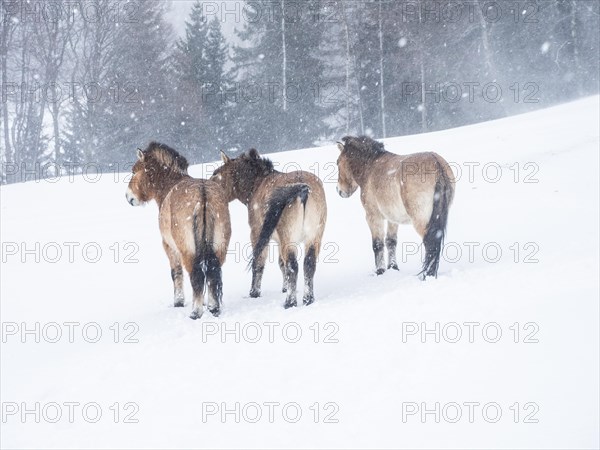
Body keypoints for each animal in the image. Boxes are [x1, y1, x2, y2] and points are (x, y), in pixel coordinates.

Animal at [125, 142, 231, 318]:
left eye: (134, 170)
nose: (129, 197)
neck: (169, 186)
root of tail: (203, 197)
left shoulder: (169, 247)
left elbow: (176, 273)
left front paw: (179, 302)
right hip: (220, 247)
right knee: (213, 273)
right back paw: (213, 308)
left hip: (187, 251)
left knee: (196, 275)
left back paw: (196, 312)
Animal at [212, 149, 328, 308]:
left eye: (216, 174)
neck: (257, 183)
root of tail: (303, 188)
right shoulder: (280, 241)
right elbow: (281, 263)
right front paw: (284, 288)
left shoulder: (256, 234)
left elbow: (259, 262)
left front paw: (254, 293)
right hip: (314, 236)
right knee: (309, 264)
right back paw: (307, 299)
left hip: (289, 238)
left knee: (293, 266)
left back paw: (290, 302)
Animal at [338, 135, 454, 280]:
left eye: (337, 163)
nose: (339, 191)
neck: (370, 167)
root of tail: (436, 163)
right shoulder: (392, 218)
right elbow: (391, 242)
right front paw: (393, 267)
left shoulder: (373, 217)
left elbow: (377, 244)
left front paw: (380, 271)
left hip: (421, 221)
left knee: (430, 243)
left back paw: (426, 275)